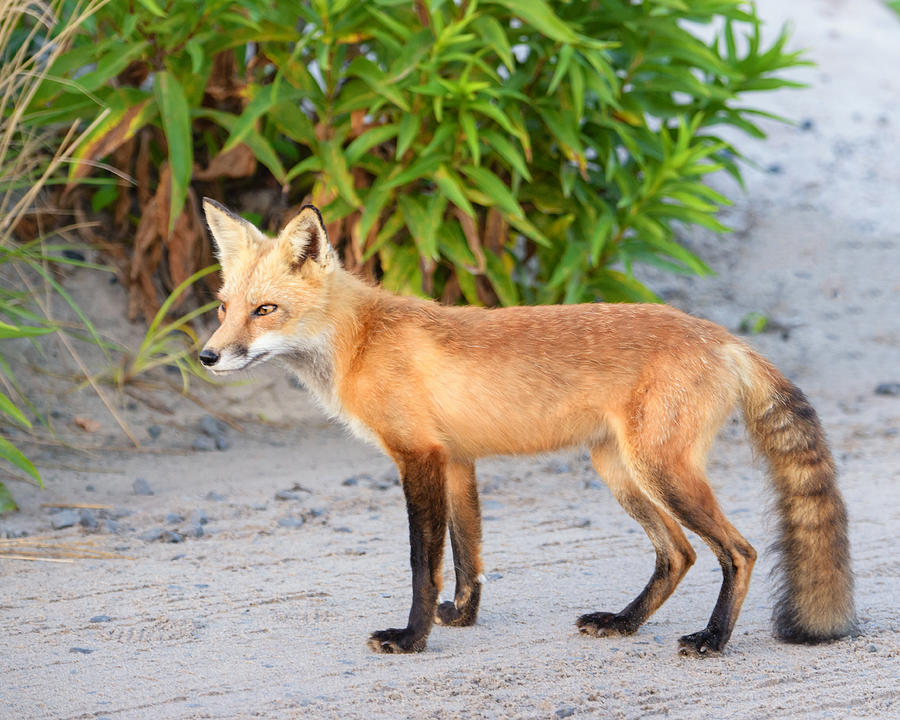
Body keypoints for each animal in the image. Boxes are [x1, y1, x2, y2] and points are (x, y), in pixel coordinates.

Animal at [199, 200, 856, 656]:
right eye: (224, 307)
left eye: (265, 311)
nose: (207, 356)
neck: (361, 342)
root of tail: (721, 336)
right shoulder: (456, 459)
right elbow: (468, 556)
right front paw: (460, 619)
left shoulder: (418, 457)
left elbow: (422, 563)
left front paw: (412, 639)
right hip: (619, 471)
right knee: (679, 554)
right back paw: (624, 623)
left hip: (660, 472)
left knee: (738, 552)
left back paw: (712, 640)